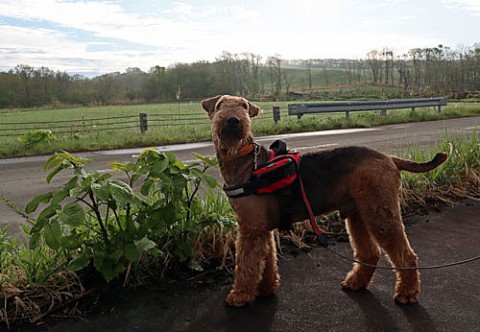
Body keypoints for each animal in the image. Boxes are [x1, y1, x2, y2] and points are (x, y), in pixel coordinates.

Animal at [201, 94, 448, 308]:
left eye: (244, 106)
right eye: (220, 105)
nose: (233, 120)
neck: (244, 162)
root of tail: (389, 158)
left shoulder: (250, 228)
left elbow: (246, 264)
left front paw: (239, 295)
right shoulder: (261, 227)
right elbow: (266, 261)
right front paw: (266, 288)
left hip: (380, 213)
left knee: (406, 256)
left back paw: (407, 293)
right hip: (358, 214)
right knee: (370, 253)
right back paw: (355, 282)